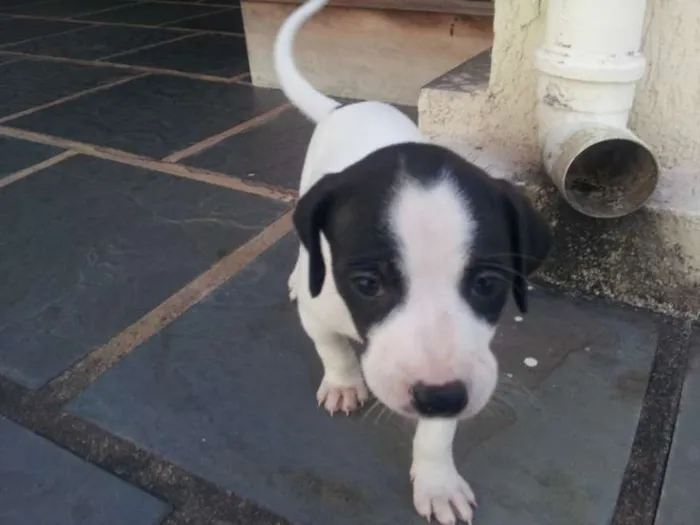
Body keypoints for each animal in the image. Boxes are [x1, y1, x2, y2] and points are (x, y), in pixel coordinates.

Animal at [274, 2, 552, 520]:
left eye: (488, 284)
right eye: (368, 284)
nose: (440, 395)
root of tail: (348, 107)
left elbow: (436, 434)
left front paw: (437, 481)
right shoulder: (322, 315)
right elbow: (332, 348)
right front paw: (344, 381)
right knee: (304, 253)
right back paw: (299, 278)